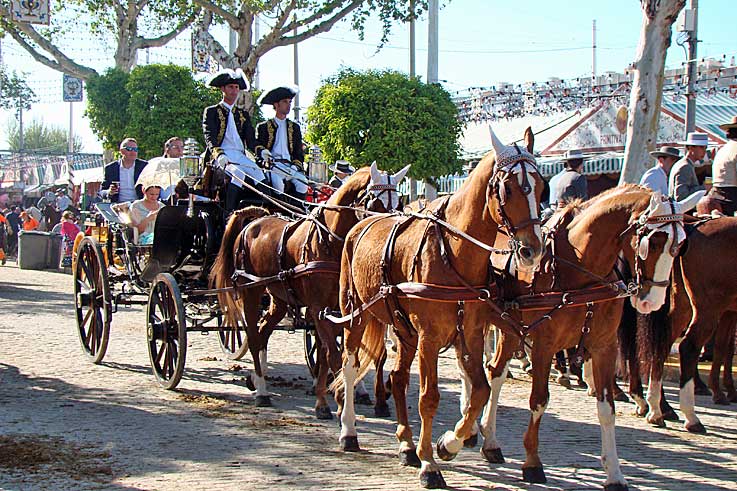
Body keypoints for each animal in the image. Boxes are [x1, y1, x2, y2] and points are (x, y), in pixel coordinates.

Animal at [209, 163, 409, 418]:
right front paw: (337, 399)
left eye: (399, 204)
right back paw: (262, 391)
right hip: (250, 292)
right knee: (254, 337)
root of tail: (256, 220)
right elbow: (334, 355)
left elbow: (333, 353)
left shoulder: (339, 310)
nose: (387, 239)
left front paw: (331, 397)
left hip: (279, 298)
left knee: (264, 332)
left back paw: (257, 378)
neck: (331, 243)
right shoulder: (318, 308)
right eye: (376, 203)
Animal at [332, 126, 545, 489]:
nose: (532, 250)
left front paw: (449, 443)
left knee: (398, 378)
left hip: (403, 329)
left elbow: (480, 390)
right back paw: (349, 432)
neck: (453, 252)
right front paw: (429, 463)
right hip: (356, 313)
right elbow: (429, 398)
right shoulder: (430, 338)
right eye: (508, 188)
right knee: (349, 365)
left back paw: (405, 444)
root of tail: (360, 225)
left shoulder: (470, 333)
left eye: (541, 185)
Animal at [480, 186, 699, 491]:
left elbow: (607, 409)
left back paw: (489, 439)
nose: (652, 302)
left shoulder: (604, 346)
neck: (579, 266)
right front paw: (532, 463)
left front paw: (614, 473)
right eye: (654, 242)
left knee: (495, 374)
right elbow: (539, 400)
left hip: (511, 328)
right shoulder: (544, 345)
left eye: (679, 246)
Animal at [629, 215, 737, 433]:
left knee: (662, 344)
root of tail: (694, 228)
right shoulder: (728, 312)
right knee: (688, 347)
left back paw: (656, 409)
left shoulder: (730, 312)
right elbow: (724, 348)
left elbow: (725, 348)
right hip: (707, 309)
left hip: (685, 305)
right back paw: (690, 416)